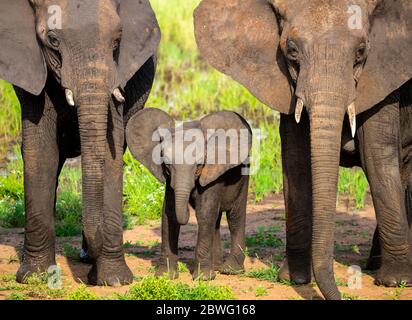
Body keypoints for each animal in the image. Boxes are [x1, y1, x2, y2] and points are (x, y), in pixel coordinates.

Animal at [0, 0, 160, 284]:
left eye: (117, 41)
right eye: (53, 40)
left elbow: (111, 153)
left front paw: (113, 281)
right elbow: (40, 151)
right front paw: (34, 277)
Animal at [125, 109, 253, 280]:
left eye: (199, 165)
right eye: (167, 165)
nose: (188, 206)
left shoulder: (212, 172)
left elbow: (204, 213)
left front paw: (203, 279)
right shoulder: (170, 181)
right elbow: (169, 213)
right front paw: (165, 276)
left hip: (243, 177)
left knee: (234, 216)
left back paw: (230, 270)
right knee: (216, 220)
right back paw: (216, 267)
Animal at [195, 0, 412, 300]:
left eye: (361, 52)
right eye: (292, 51)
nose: (342, 295)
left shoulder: (384, 76)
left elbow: (377, 159)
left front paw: (396, 282)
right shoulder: (288, 86)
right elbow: (296, 161)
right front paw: (294, 279)